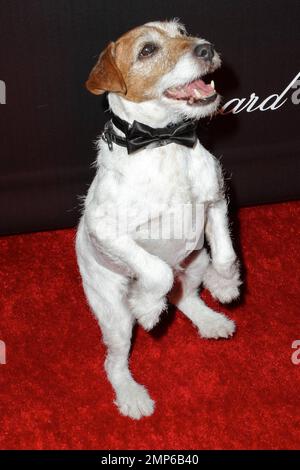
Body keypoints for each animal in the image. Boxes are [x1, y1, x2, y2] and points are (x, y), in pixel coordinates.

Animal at [75, 20, 241, 420]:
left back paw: (210, 317)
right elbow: (156, 270)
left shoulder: (215, 202)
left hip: (195, 263)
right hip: (115, 316)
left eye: (181, 32)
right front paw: (149, 308)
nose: (206, 48)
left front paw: (226, 285)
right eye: (147, 50)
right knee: (114, 361)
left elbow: (227, 253)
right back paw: (131, 394)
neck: (164, 141)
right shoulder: (108, 232)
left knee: (185, 296)